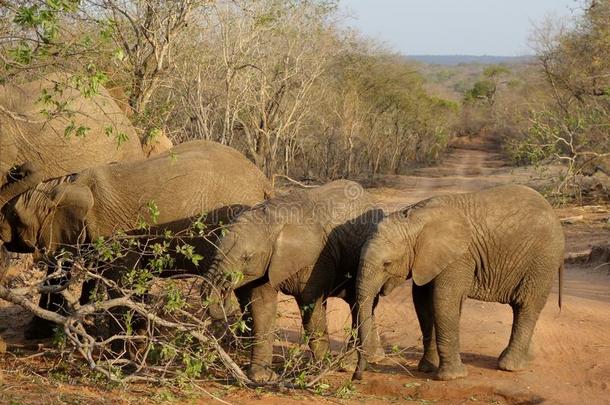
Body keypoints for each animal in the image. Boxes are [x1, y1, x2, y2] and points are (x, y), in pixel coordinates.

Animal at [0, 139, 270, 338]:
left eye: (15, 216)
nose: (16, 169)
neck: (68, 183)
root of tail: (263, 179)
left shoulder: (111, 230)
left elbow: (116, 280)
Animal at [202, 180, 396, 382]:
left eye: (246, 258)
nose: (225, 289)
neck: (272, 220)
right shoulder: (268, 262)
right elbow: (262, 307)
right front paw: (262, 378)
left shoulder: (316, 258)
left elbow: (311, 307)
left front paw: (318, 372)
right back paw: (370, 358)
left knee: (360, 304)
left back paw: (350, 364)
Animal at [352, 185, 564, 380]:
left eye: (387, 264)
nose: (358, 376)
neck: (414, 220)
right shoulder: (428, 260)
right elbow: (422, 302)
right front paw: (427, 368)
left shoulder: (459, 257)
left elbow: (444, 301)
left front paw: (452, 377)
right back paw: (526, 358)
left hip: (542, 260)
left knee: (526, 305)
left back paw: (510, 366)